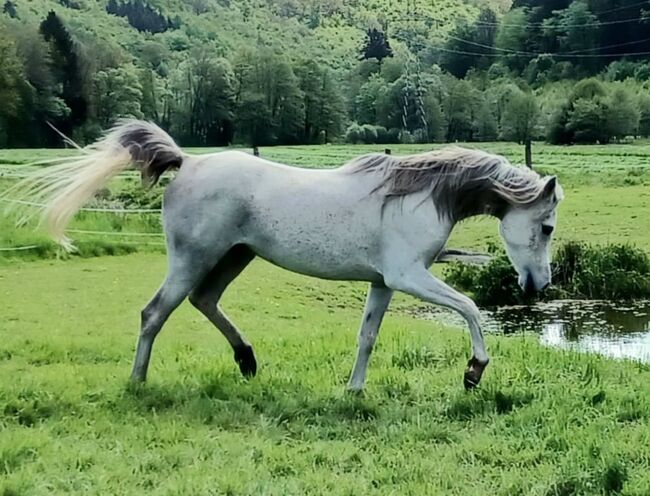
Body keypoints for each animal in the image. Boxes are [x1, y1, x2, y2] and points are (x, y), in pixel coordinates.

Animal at [5, 121, 560, 392]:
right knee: (154, 313)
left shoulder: (384, 282)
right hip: (193, 259)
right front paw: (473, 371)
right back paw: (139, 382)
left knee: (203, 302)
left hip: (234, 257)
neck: (417, 195)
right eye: (547, 226)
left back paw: (247, 360)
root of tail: (189, 162)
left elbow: (367, 337)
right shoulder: (408, 276)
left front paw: (354, 391)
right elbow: (469, 306)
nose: (541, 286)